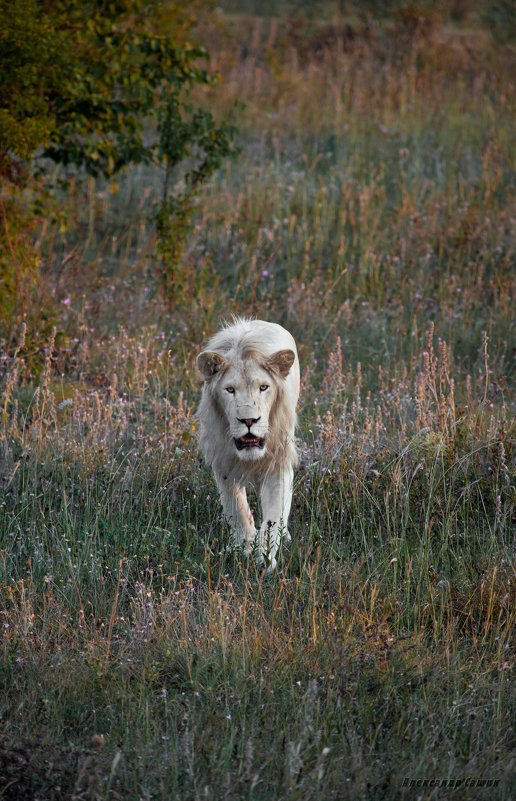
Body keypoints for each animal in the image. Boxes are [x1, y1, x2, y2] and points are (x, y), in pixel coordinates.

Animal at [197, 316, 300, 572]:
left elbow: (273, 516)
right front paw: (243, 547)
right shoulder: (223, 463)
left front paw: (265, 559)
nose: (249, 420)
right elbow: (237, 509)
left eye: (264, 387)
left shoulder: (278, 462)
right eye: (230, 390)